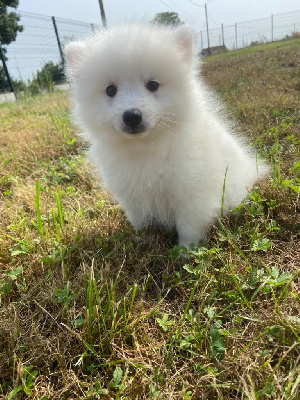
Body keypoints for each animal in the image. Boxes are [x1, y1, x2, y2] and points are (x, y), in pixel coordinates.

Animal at [64, 23, 268, 248]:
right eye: (110, 90)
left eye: (153, 85)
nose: (132, 115)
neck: (146, 147)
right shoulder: (132, 197)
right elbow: (140, 222)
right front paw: (142, 242)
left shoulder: (191, 192)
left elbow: (189, 227)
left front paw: (186, 251)